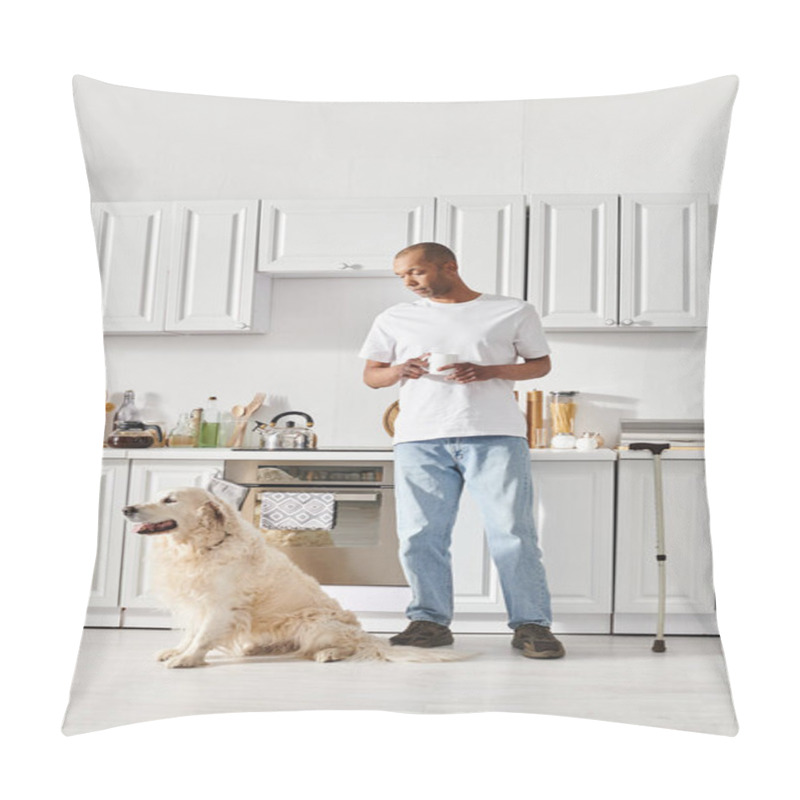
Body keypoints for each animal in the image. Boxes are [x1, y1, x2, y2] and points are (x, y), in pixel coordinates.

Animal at [122, 488, 466, 668]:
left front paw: (187, 659)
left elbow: (203, 637)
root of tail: (364, 634)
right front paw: (177, 651)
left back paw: (329, 653)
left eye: (170, 500)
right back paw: (258, 650)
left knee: (349, 647)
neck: (205, 546)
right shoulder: (198, 602)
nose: (127, 508)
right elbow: (191, 633)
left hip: (315, 623)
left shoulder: (221, 607)